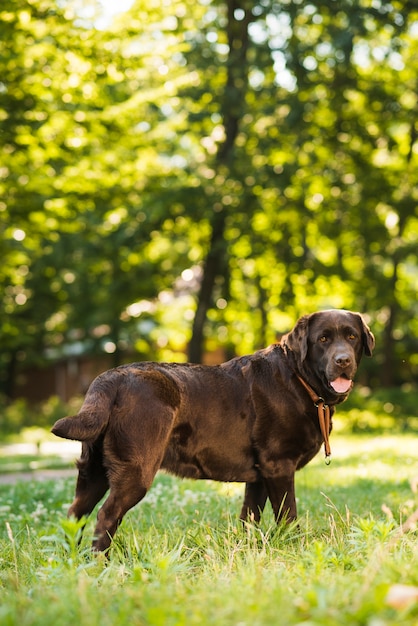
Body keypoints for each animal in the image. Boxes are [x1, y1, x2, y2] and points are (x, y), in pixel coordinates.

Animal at [52, 308, 376, 552]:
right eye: (323, 339)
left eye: (352, 336)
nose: (343, 361)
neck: (300, 378)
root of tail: (111, 377)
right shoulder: (278, 465)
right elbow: (288, 515)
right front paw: (295, 549)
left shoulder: (259, 475)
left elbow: (250, 517)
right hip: (135, 470)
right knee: (106, 515)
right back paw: (100, 565)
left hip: (93, 472)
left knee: (75, 513)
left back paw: (72, 563)